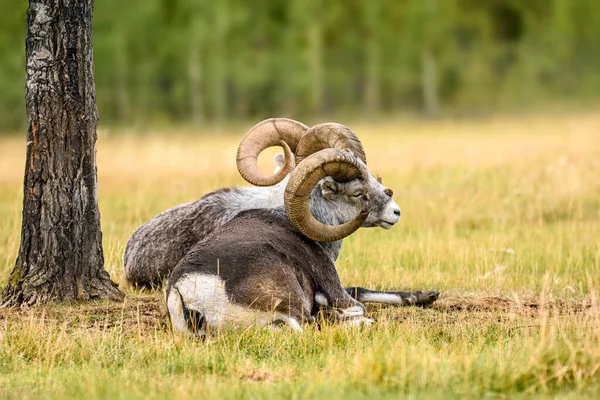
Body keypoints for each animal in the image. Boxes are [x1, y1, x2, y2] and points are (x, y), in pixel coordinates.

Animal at [166, 142, 414, 332]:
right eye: (358, 193)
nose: (395, 212)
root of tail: (188, 296)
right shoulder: (334, 289)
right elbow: (357, 305)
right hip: (293, 302)